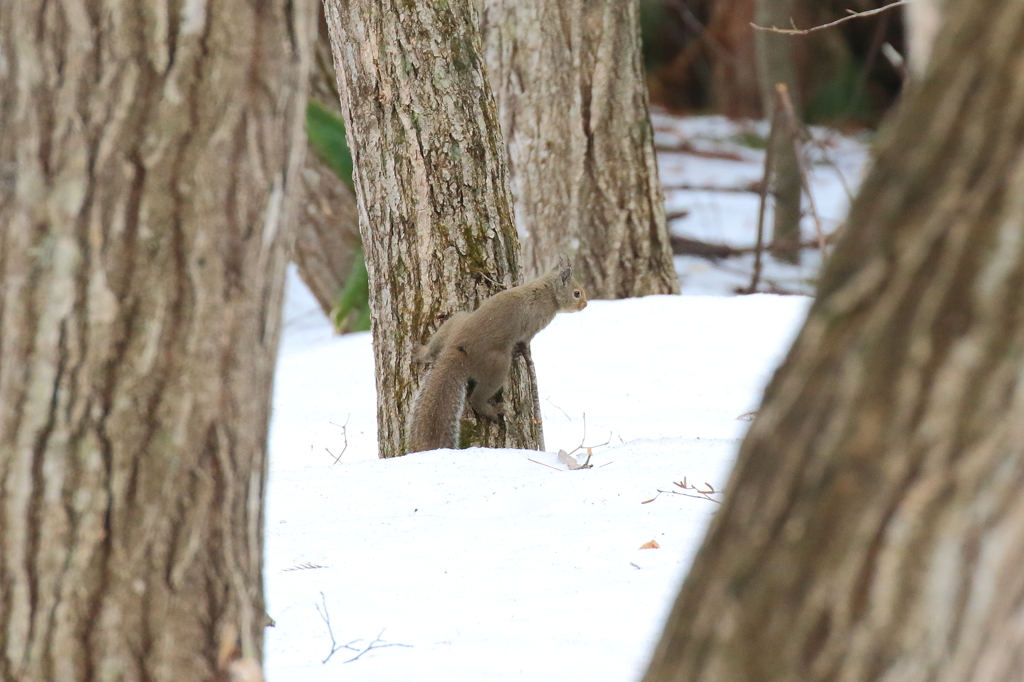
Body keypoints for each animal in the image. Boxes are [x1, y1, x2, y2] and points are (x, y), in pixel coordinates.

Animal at [405, 266, 585, 450]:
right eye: (576, 293)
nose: (584, 305)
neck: (547, 290)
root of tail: (457, 349)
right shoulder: (534, 325)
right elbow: (526, 341)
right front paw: (521, 351)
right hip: (496, 365)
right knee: (476, 399)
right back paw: (492, 411)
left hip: (455, 322)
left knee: (433, 350)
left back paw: (421, 353)